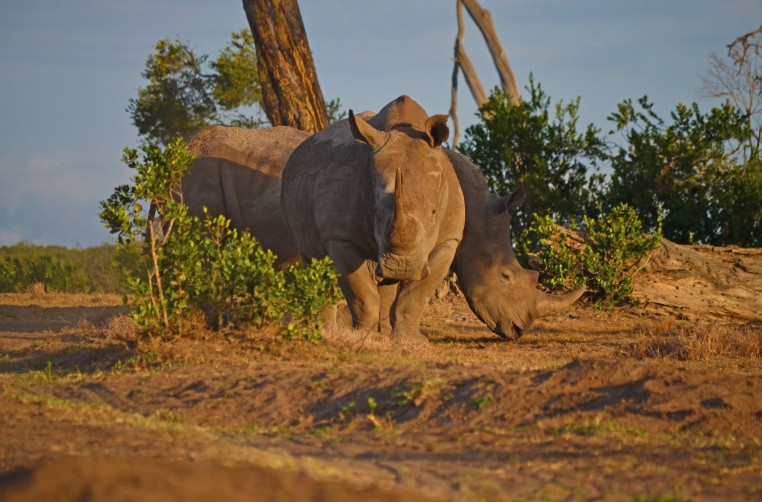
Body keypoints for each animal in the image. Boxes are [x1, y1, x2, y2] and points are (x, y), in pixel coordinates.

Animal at [281, 96, 465, 343]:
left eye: (434, 213)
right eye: (375, 211)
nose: (402, 267)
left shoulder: (449, 238)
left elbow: (416, 296)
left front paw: (410, 341)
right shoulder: (341, 237)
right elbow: (362, 294)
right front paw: (361, 337)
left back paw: (382, 332)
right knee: (313, 259)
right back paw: (325, 331)